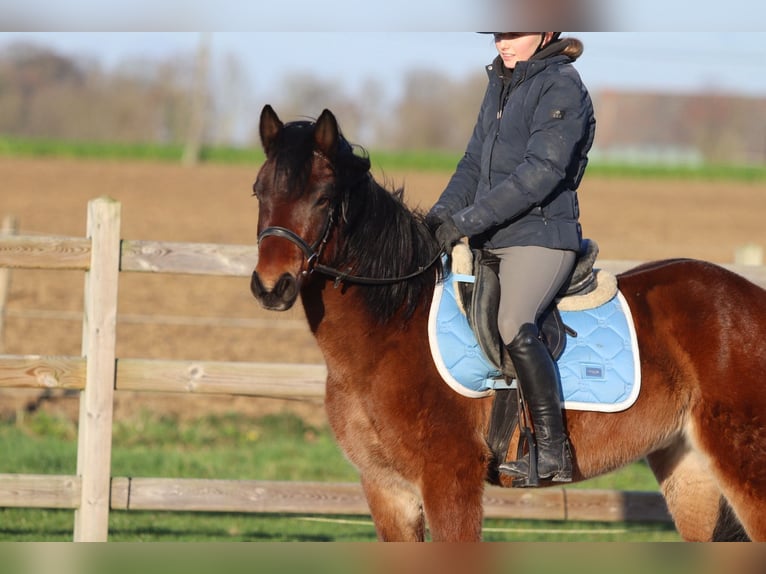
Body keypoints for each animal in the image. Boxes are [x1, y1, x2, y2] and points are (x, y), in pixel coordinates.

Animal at [249, 104, 766, 542]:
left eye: (323, 197)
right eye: (259, 191)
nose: (272, 287)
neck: (390, 328)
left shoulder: (449, 478)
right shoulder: (385, 488)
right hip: (689, 469)